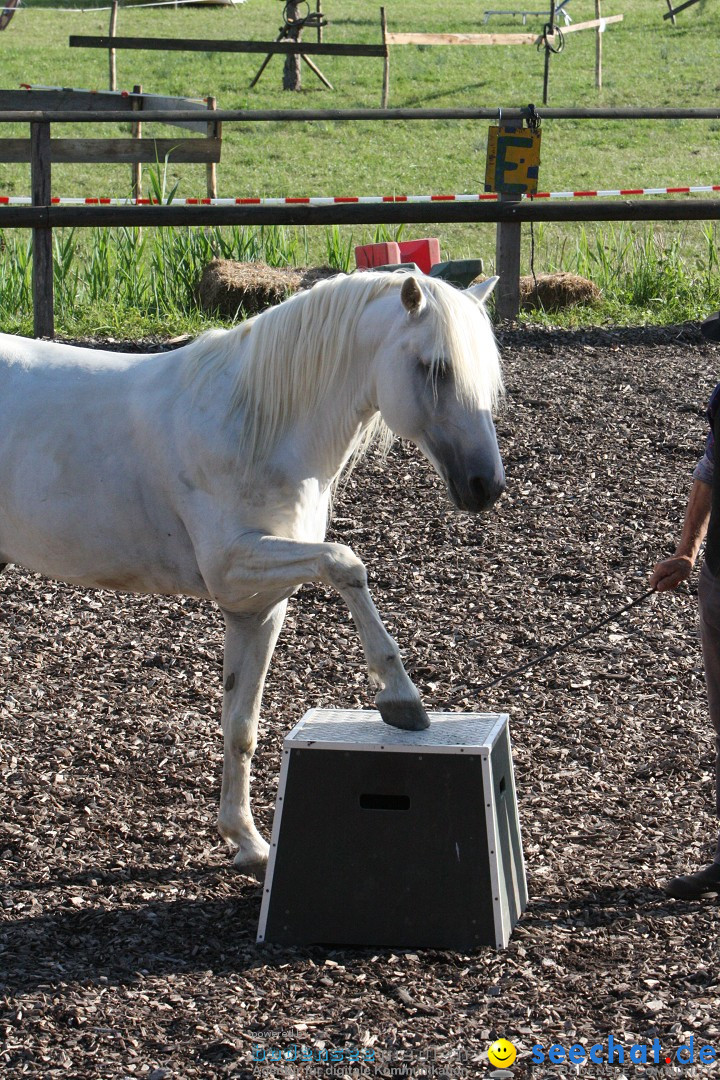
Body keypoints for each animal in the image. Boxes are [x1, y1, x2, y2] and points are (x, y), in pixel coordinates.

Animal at [0, 272, 507, 876]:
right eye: (436, 368)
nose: (486, 485)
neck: (259, 425)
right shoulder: (233, 565)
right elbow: (346, 564)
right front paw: (401, 699)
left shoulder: (258, 606)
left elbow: (240, 725)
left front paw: (247, 841)